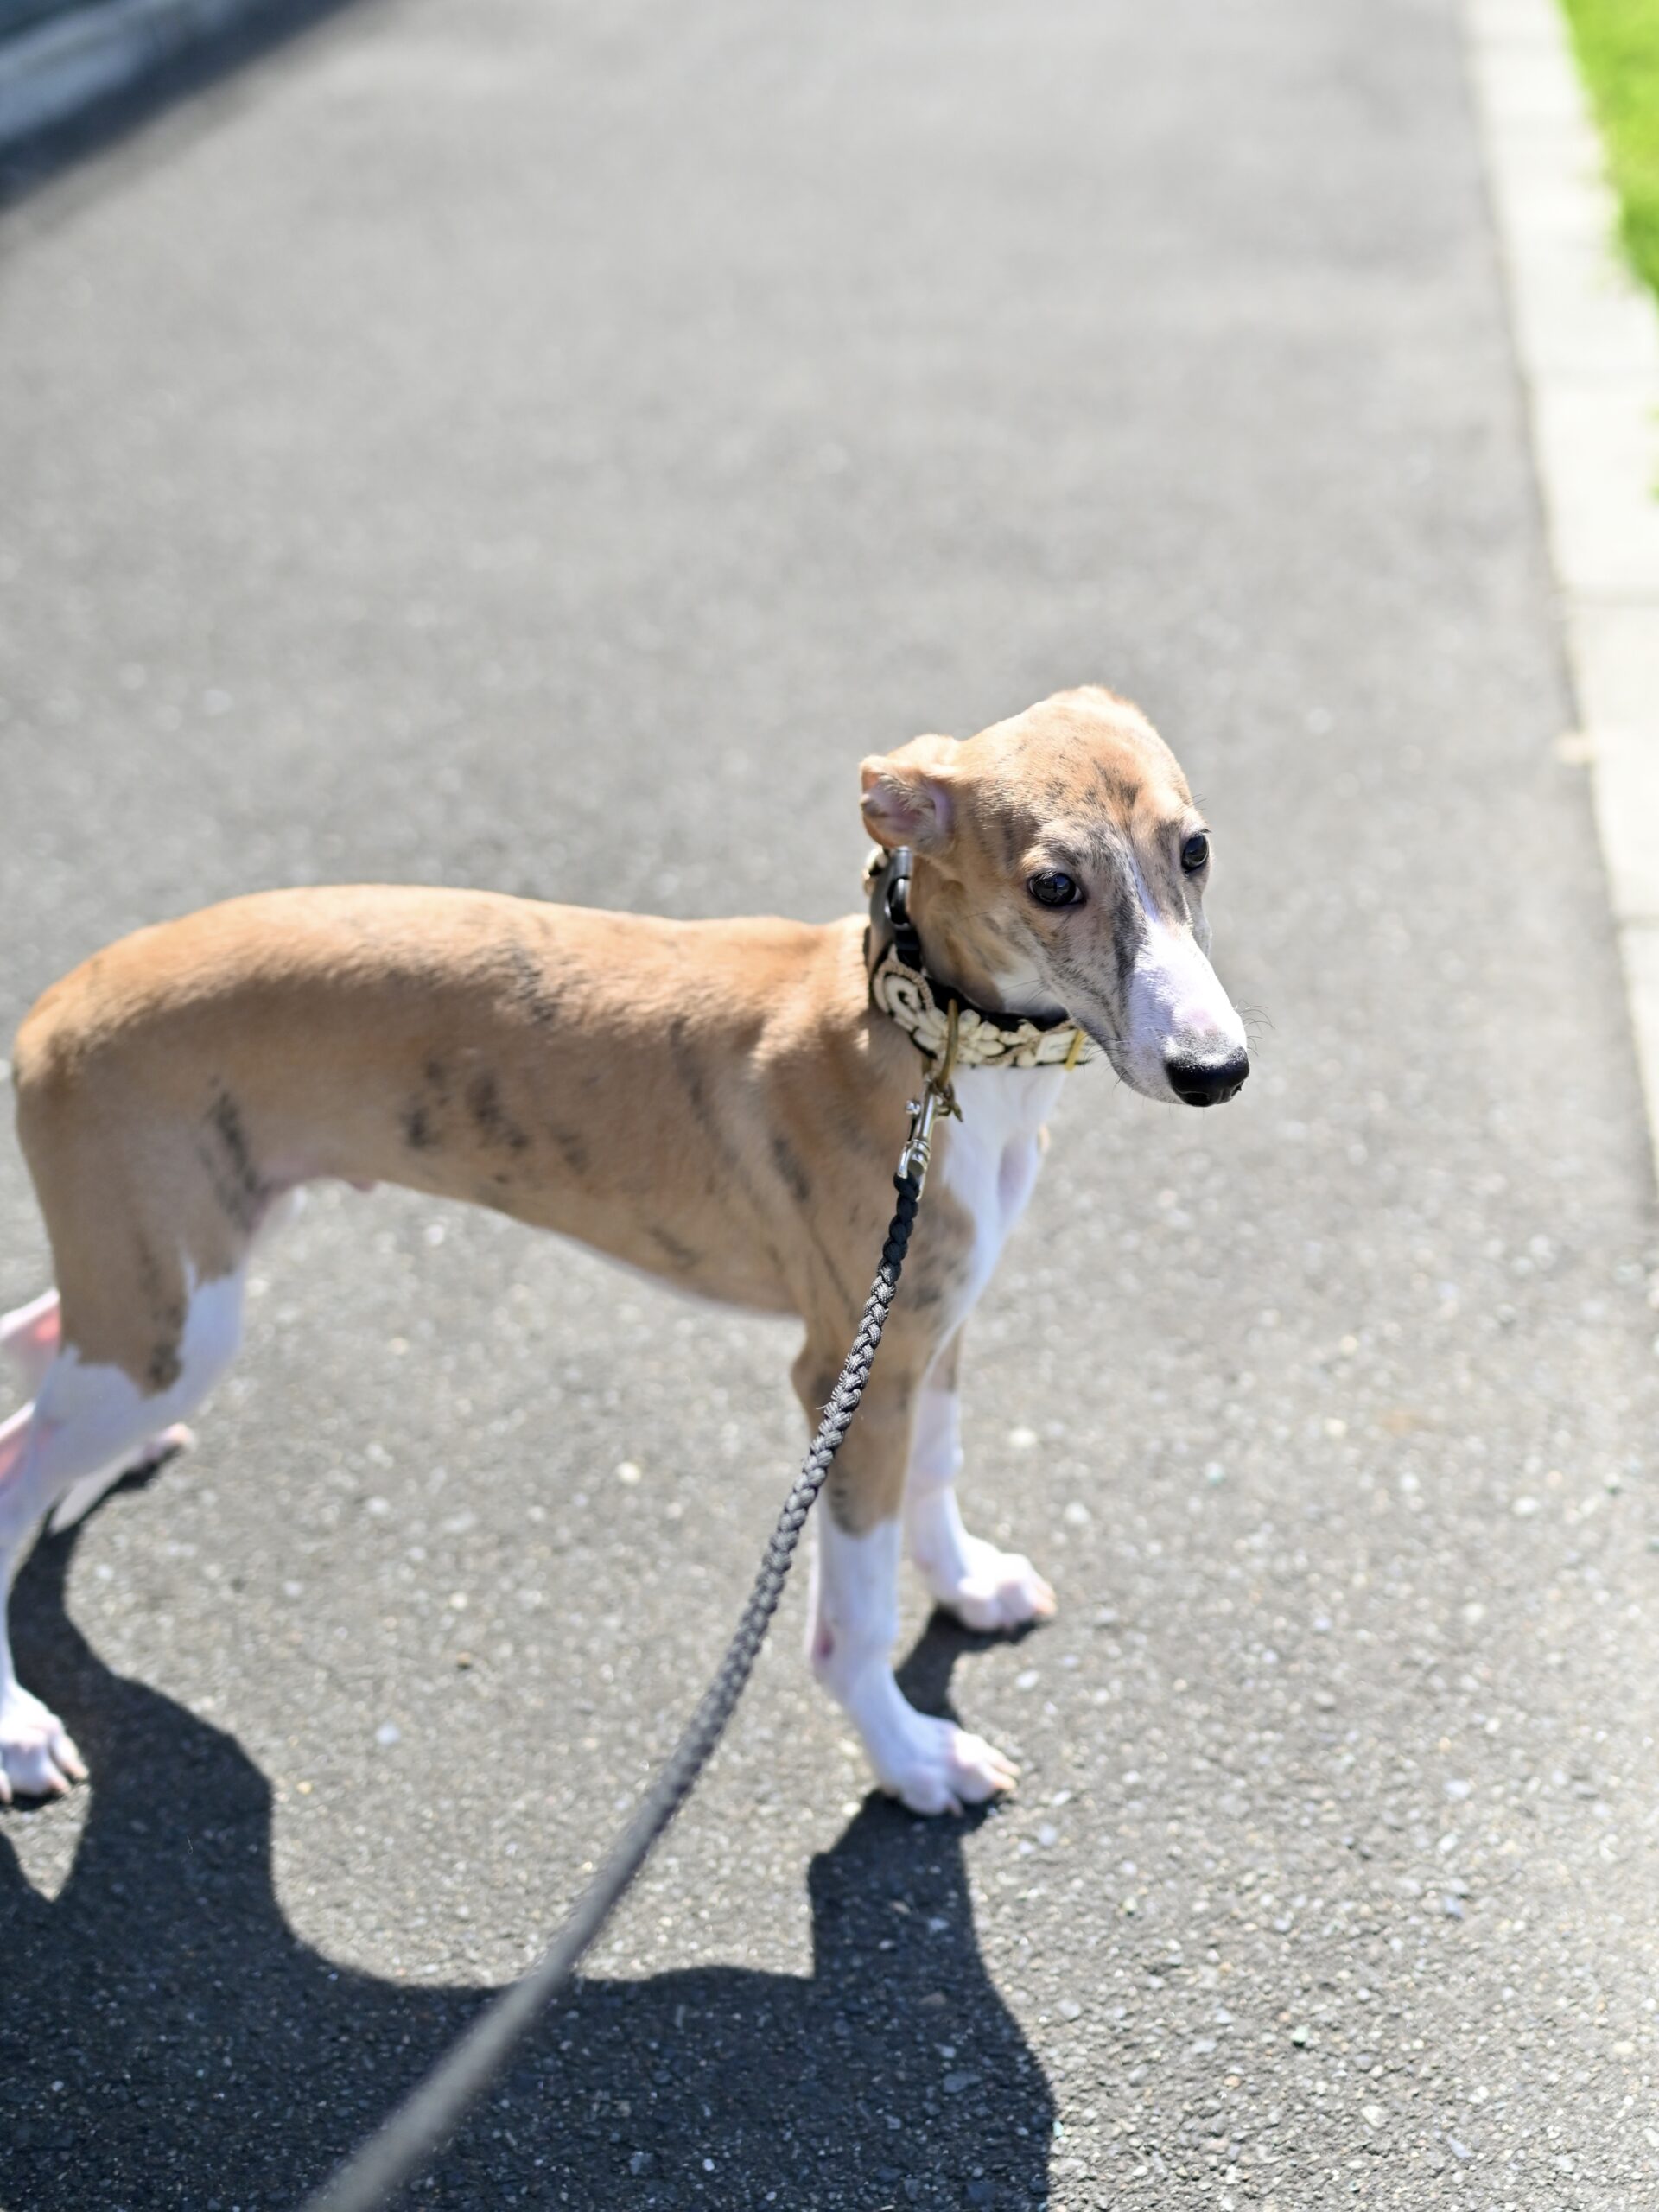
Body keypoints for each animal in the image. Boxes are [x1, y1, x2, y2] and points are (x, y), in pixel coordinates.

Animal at [0, 686, 1247, 1814]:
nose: (1217, 1072)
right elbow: (857, 1615)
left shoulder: (928, 1329)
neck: (920, 1036)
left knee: (42, 1352)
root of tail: (49, 1009)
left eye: (1194, 848)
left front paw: (970, 1584)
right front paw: (910, 1758)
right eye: (1053, 885)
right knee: (18, 1464)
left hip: (184, 1261)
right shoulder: (845, 1367)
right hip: (175, 1319)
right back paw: (17, 1727)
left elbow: (936, 1473)